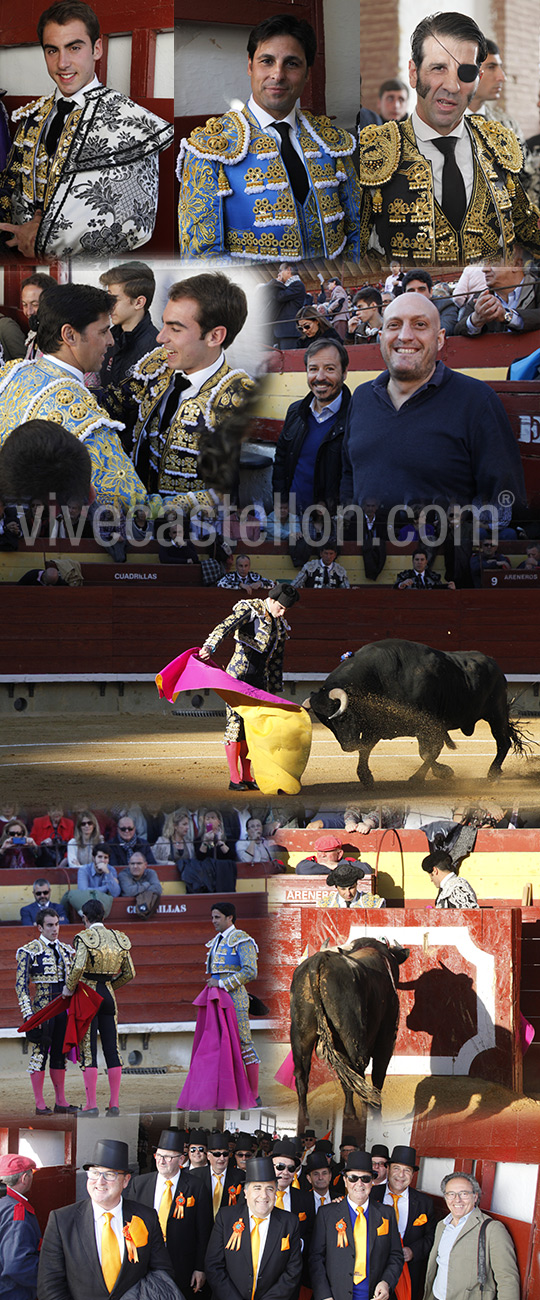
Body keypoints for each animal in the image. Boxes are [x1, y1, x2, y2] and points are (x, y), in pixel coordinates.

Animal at [291, 935, 411, 1128]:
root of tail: (319, 960)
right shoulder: (387, 1038)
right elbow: (378, 1074)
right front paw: (376, 1114)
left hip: (300, 1033)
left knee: (303, 1074)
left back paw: (306, 1118)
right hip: (354, 1036)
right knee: (358, 1070)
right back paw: (363, 1116)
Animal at [301, 637, 525, 785]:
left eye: (343, 716)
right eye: (327, 724)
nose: (348, 746)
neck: (378, 677)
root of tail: (494, 664)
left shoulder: (425, 724)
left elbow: (428, 751)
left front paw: (420, 777)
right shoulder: (379, 724)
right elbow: (367, 749)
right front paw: (366, 777)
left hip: (496, 714)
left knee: (503, 742)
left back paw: (493, 773)